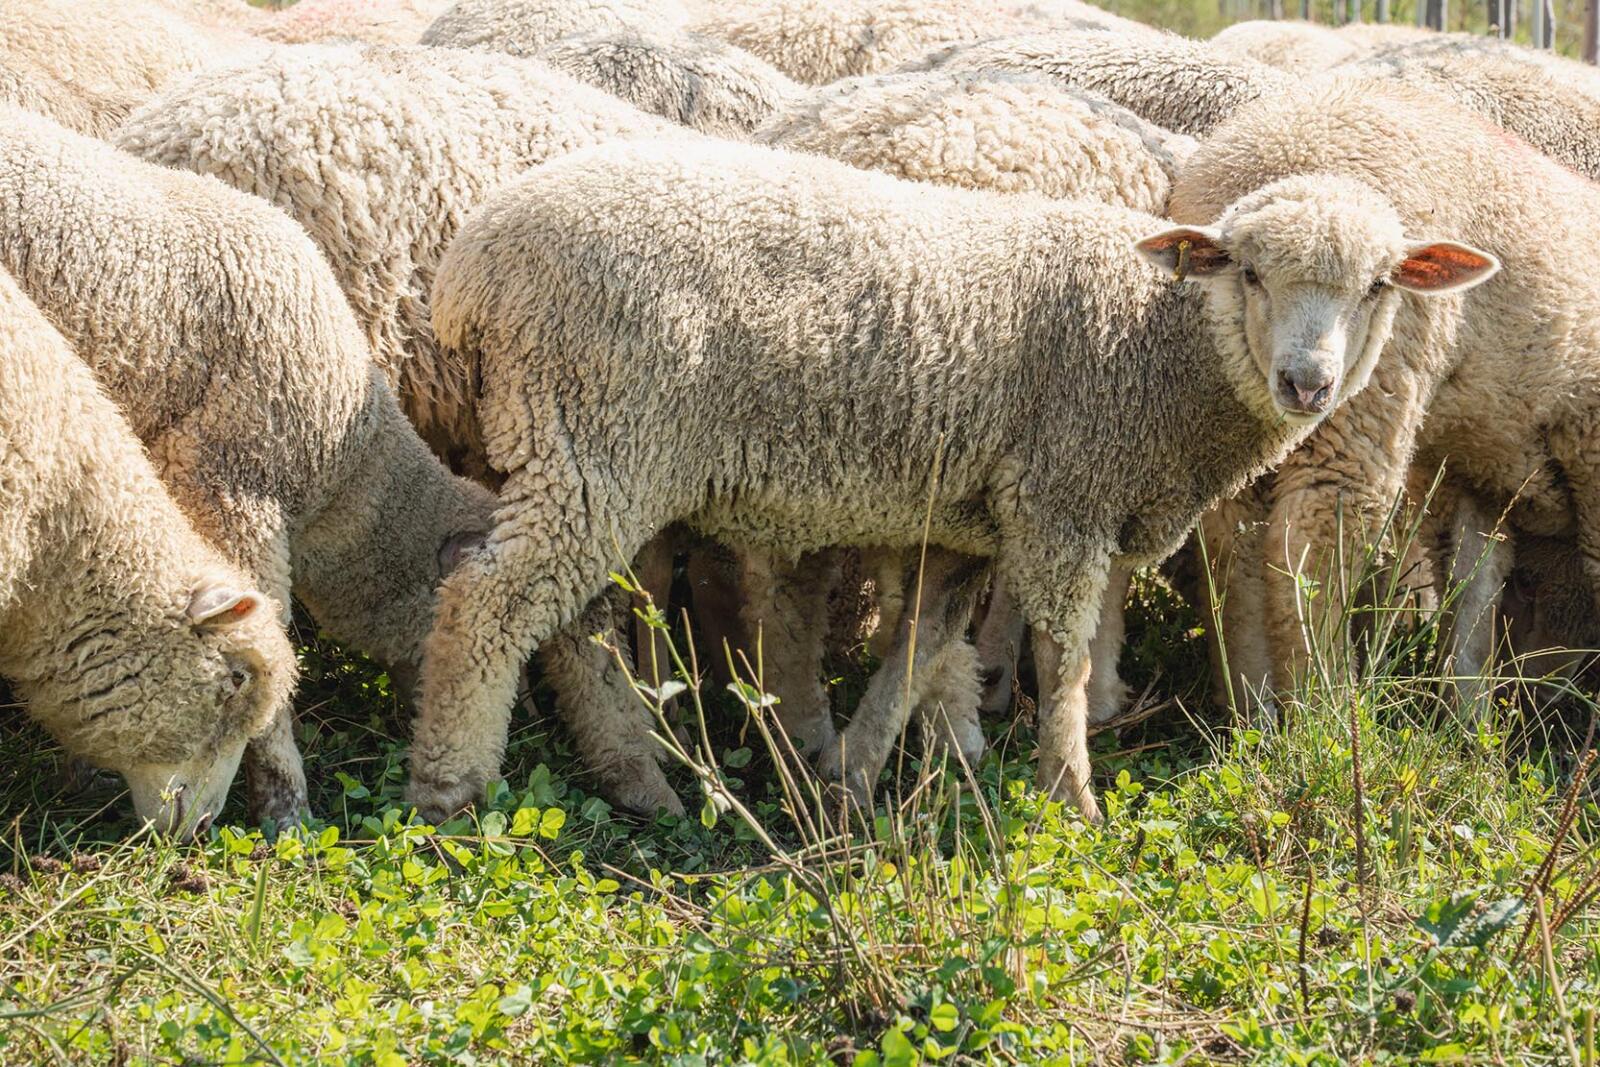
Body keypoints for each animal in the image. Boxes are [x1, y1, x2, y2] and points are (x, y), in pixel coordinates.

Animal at [403, 137, 1497, 825]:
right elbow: (1061, 661)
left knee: (567, 620)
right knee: (486, 599)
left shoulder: (969, 519)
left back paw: (642, 778)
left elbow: (919, 644)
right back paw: (454, 785)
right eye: (1249, 273)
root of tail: (471, 266)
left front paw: (850, 776)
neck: (1161, 346)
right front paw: (1072, 798)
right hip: (597, 435)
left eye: (1377, 286)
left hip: (570, 444)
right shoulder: (1061, 500)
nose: (1308, 383)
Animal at [1164, 79, 1600, 703]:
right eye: (1248, 274)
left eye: (1376, 286)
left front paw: (1318, 706)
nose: (1308, 385)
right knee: (1479, 579)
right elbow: (1237, 566)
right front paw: (1252, 708)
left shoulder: (1351, 448)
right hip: (1482, 453)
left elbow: (1311, 564)